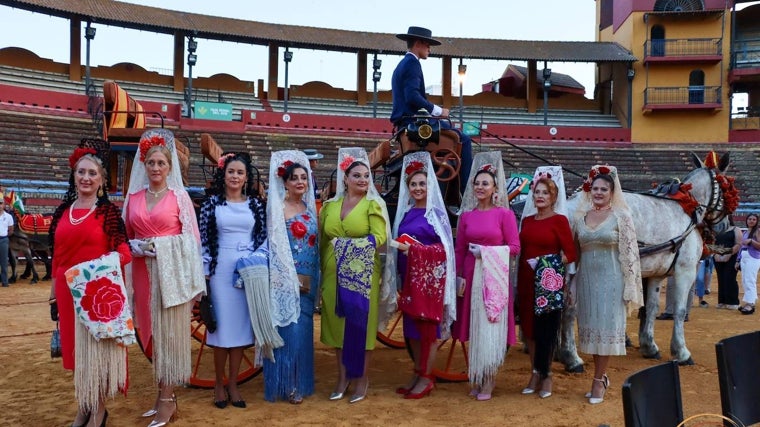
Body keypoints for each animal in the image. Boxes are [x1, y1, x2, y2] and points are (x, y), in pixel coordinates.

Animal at [560, 152, 732, 370]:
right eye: (726, 186)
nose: (725, 226)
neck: (688, 207)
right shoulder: (686, 271)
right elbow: (680, 309)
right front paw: (681, 352)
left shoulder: (657, 274)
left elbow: (650, 307)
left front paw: (649, 346)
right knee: (569, 310)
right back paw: (572, 358)